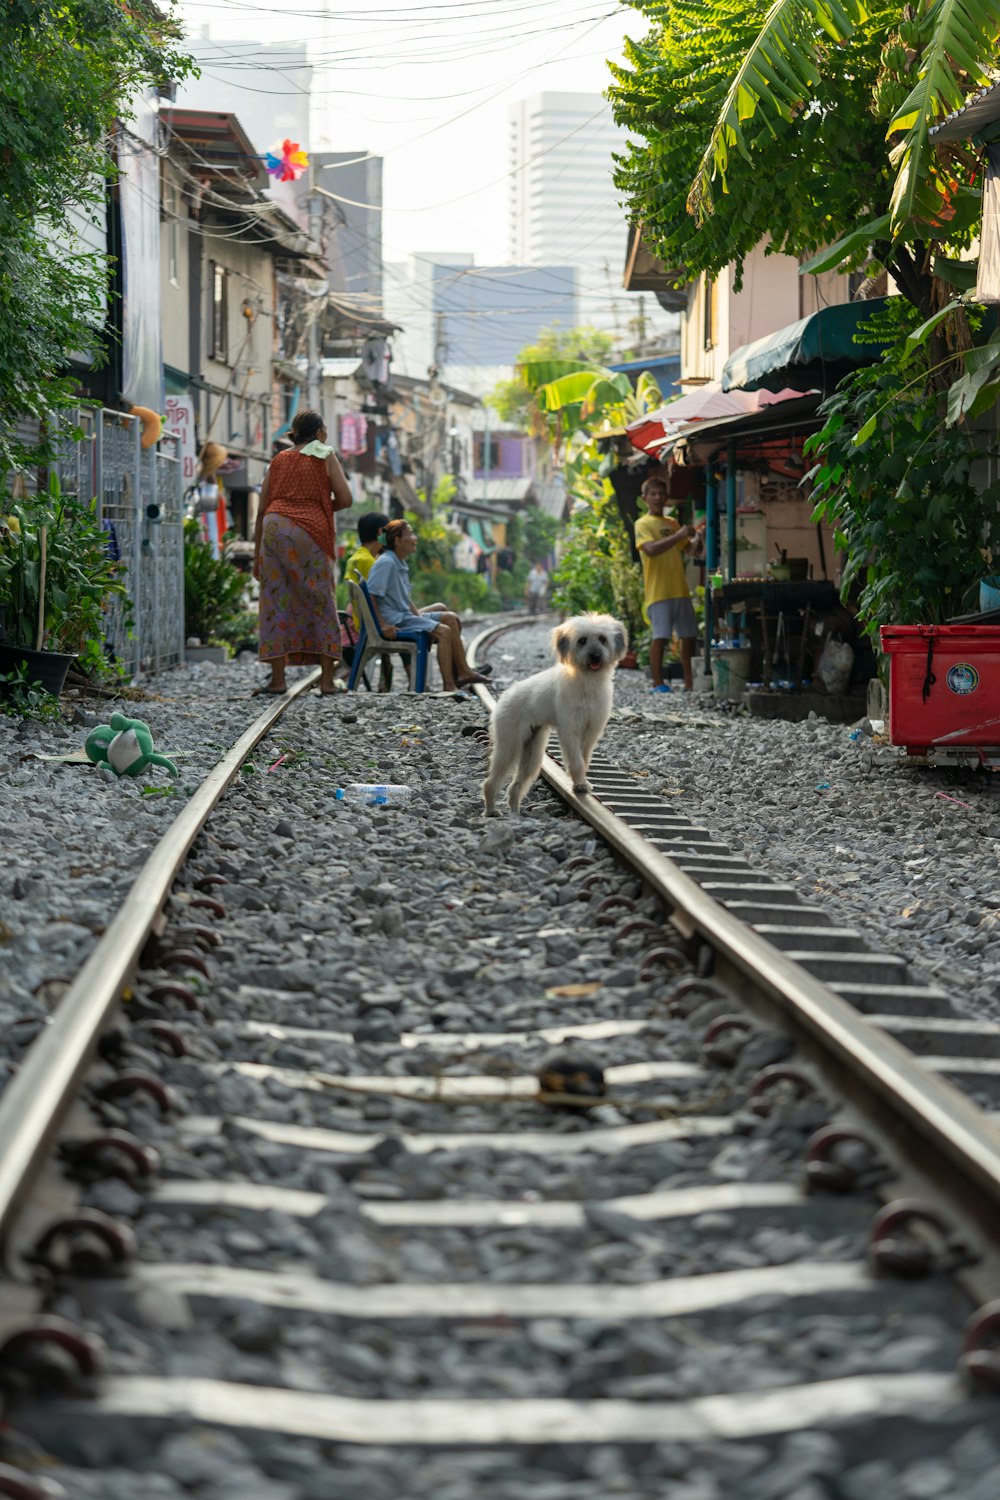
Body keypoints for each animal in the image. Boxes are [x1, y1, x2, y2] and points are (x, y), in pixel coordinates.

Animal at [482, 612, 626, 816]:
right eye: (582, 641)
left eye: (602, 639)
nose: (595, 656)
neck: (587, 683)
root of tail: (505, 696)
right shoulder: (570, 730)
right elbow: (576, 761)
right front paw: (580, 785)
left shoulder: (591, 731)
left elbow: (584, 759)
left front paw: (582, 783)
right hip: (509, 744)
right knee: (490, 782)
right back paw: (491, 811)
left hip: (532, 752)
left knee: (515, 787)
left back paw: (515, 812)